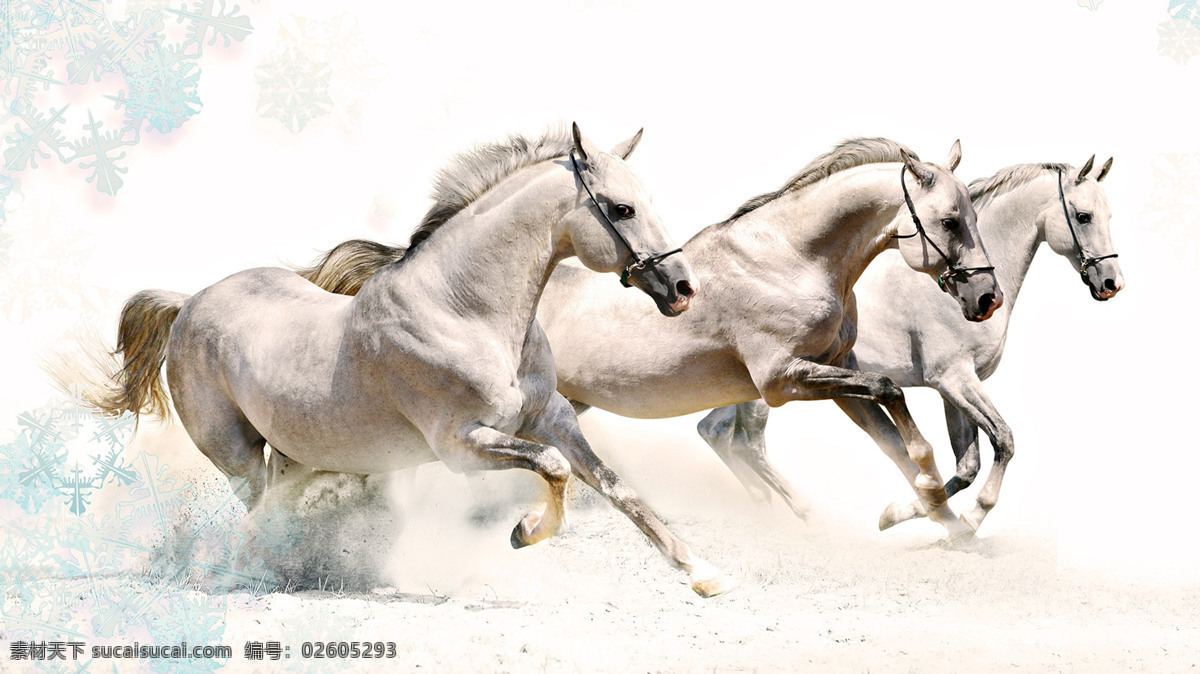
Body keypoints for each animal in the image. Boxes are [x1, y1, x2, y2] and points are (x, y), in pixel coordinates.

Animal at [94, 124, 740, 598]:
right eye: (623, 209)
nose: (683, 287)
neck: (465, 310)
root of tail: (189, 302)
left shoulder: (552, 417)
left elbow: (614, 486)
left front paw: (704, 574)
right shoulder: (461, 445)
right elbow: (555, 469)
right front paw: (524, 533)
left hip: (299, 453)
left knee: (277, 502)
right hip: (236, 455)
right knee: (260, 508)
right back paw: (254, 569)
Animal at [297, 138, 1003, 541]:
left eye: (970, 215)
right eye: (949, 220)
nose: (986, 298)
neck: (792, 257)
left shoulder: (832, 375)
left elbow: (896, 432)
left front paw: (937, 519)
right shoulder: (782, 380)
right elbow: (894, 398)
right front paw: (928, 500)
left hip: (553, 409)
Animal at [697, 156, 1123, 535]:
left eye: (1108, 216)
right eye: (1084, 216)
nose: (1111, 283)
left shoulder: (954, 388)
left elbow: (966, 466)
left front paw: (906, 513)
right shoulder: (954, 379)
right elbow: (1003, 440)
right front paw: (966, 519)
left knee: (714, 431)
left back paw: (764, 508)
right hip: (773, 388)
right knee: (747, 443)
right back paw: (801, 512)